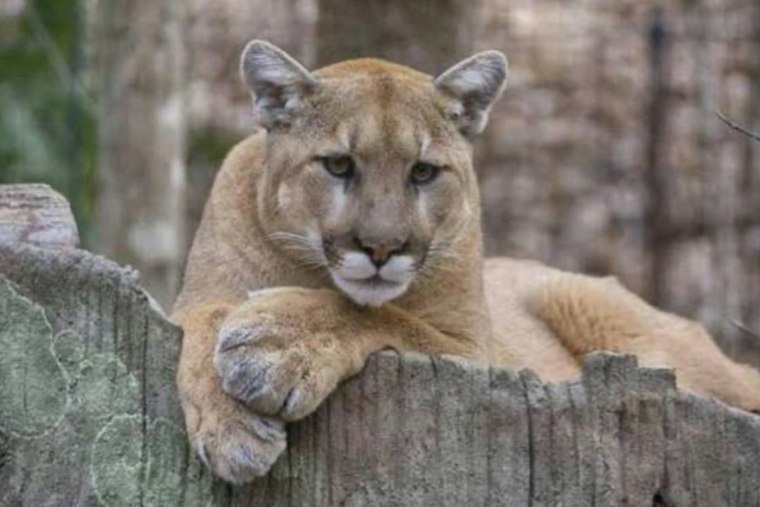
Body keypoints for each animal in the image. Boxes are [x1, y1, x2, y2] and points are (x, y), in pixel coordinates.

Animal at [173, 40, 760, 484]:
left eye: (423, 172)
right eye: (338, 165)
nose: (382, 248)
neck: (311, 272)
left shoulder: (479, 353)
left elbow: (388, 319)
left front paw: (276, 343)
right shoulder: (191, 302)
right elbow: (202, 320)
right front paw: (231, 429)